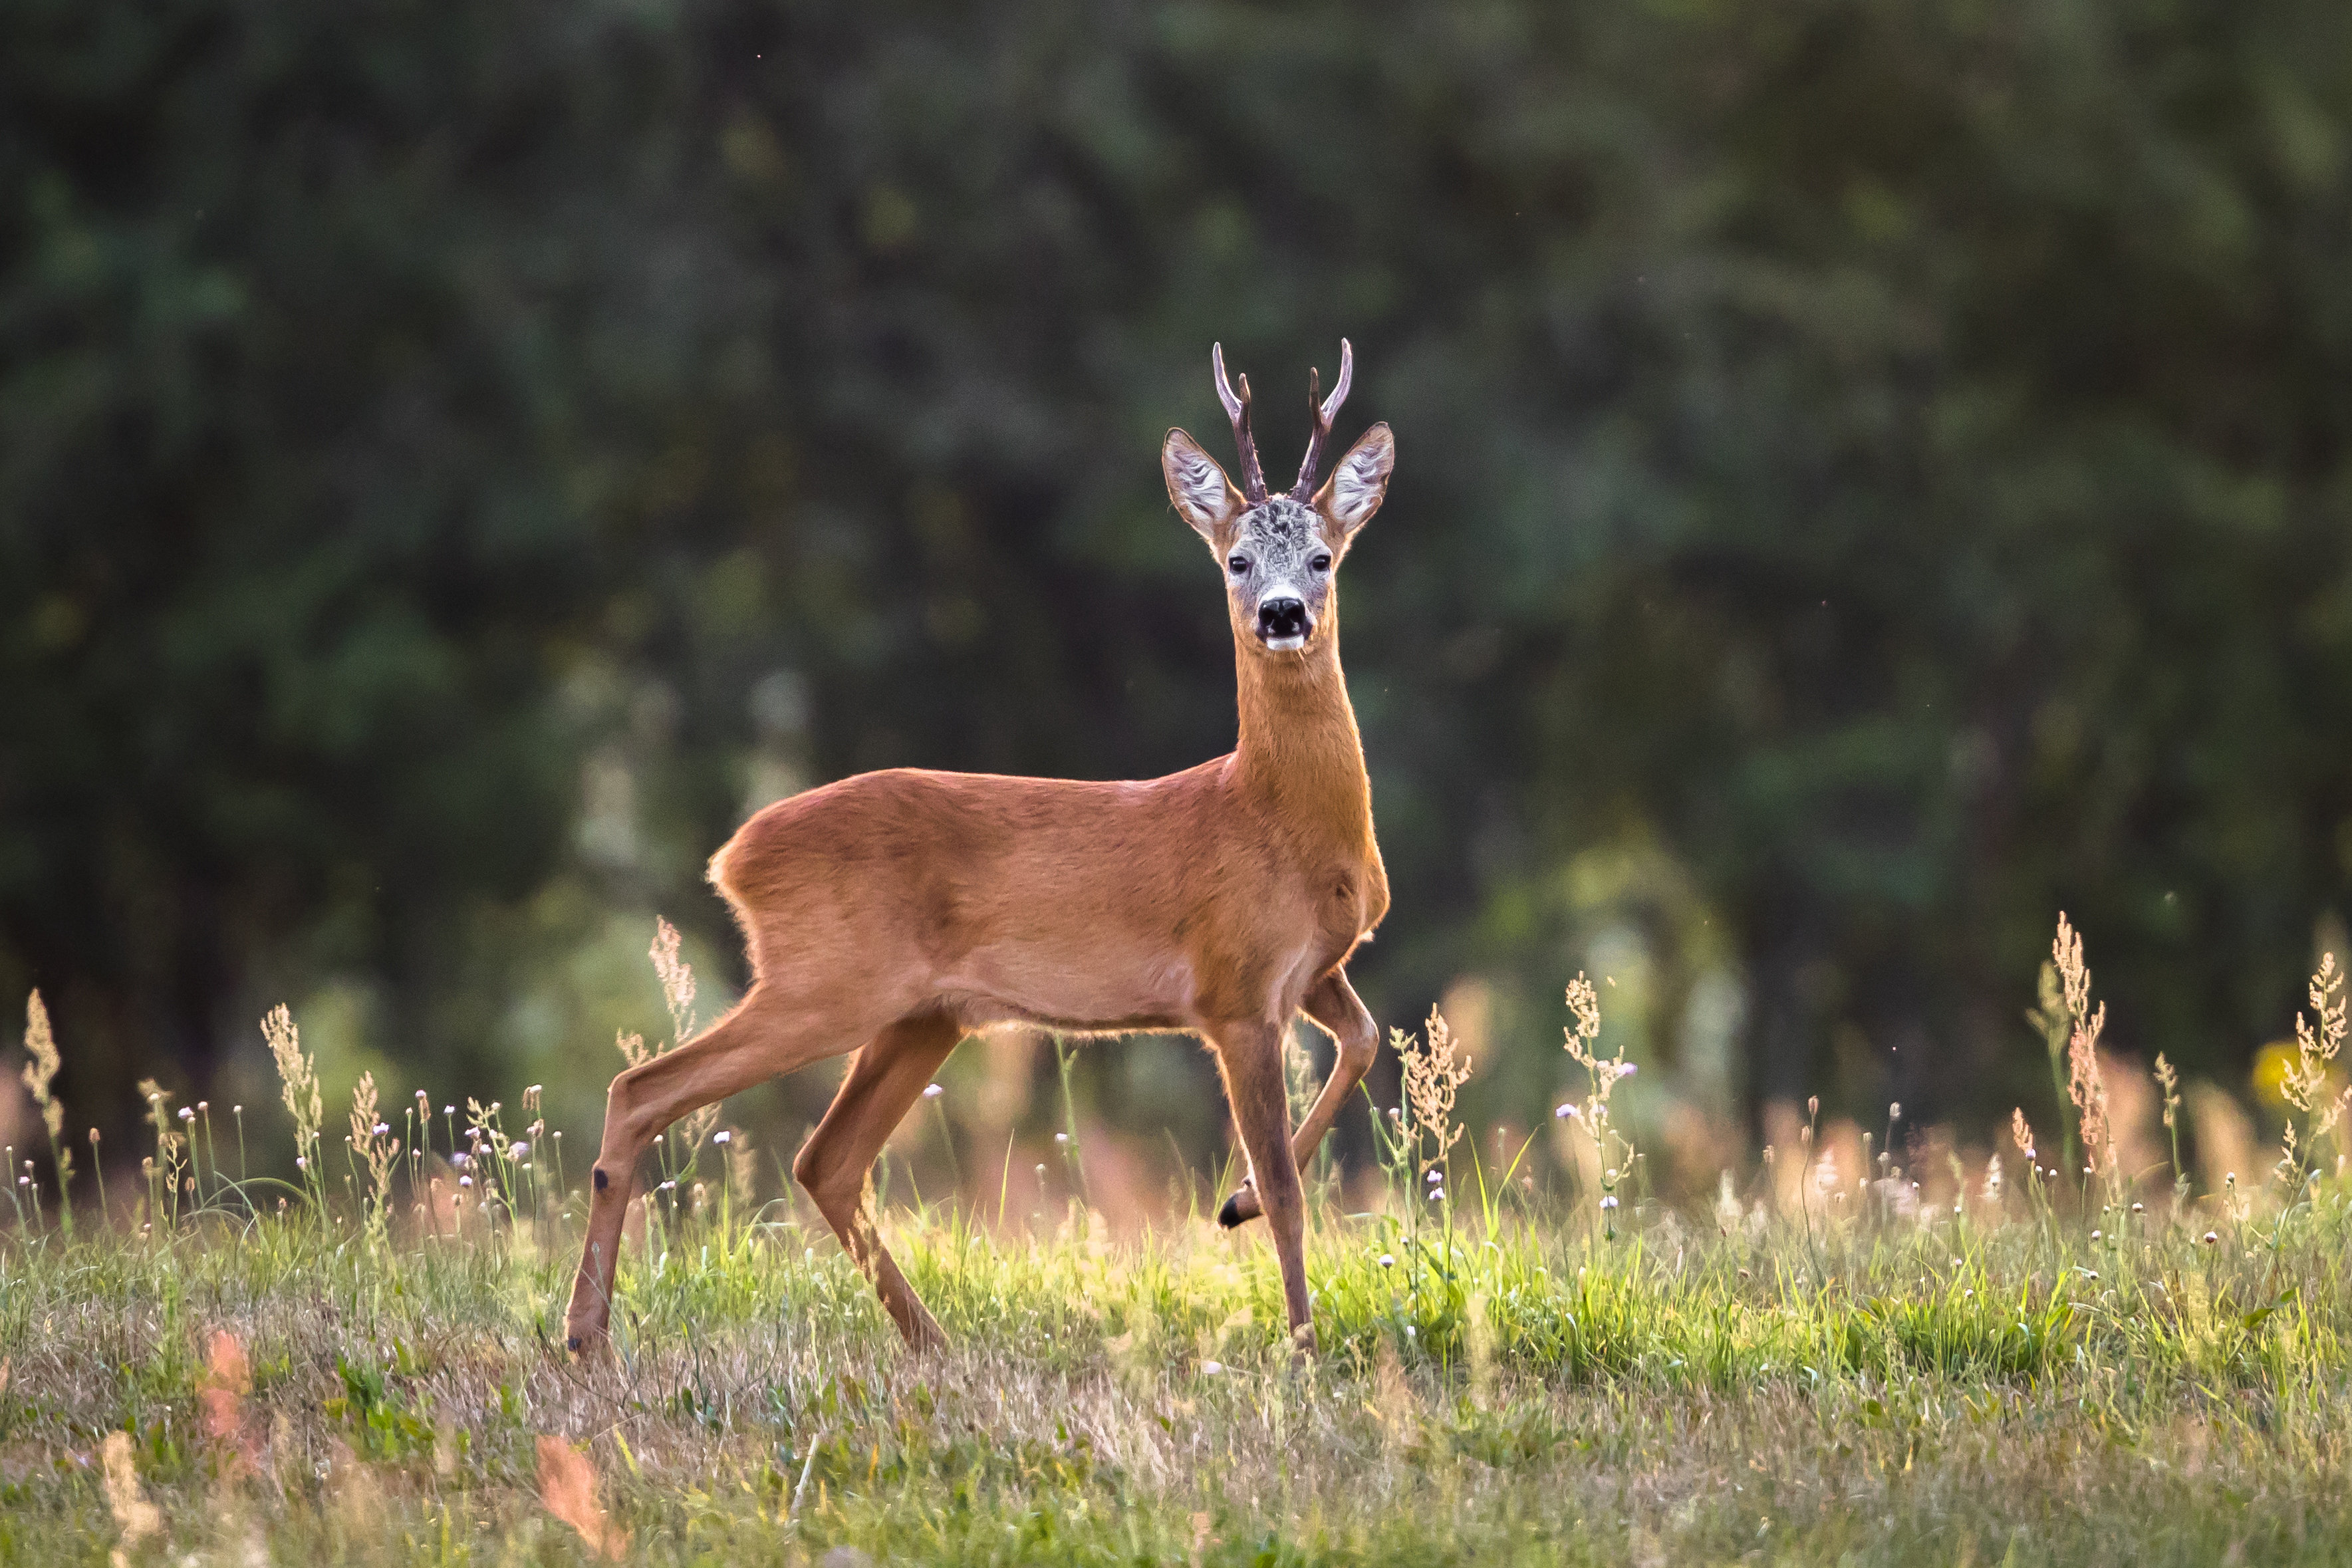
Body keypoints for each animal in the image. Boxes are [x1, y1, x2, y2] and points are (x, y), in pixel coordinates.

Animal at [563, 341, 1395, 1360]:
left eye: (1322, 556)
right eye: (1236, 559)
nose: (1281, 614)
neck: (1277, 818)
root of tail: (733, 858)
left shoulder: (1313, 969)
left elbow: (1365, 1040)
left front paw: (1230, 1206)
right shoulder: (1233, 989)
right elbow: (1286, 1186)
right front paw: (1301, 1345)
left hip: (924, 1013)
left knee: (825, 1158)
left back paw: (933, 1342)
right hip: (827, 980)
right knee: (644, 1087)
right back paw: (586, 1336)